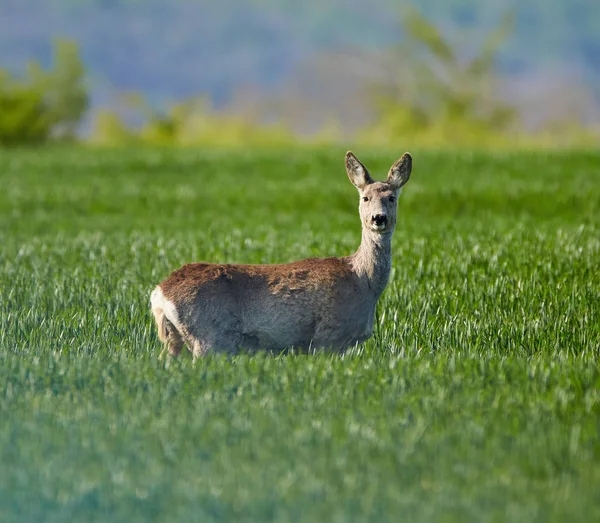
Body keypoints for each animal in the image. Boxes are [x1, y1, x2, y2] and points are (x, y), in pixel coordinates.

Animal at [150, 150, 412, 356]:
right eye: (365, 197)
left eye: (391, 197)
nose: (378, 218)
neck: (363, 282)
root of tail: (159, 293)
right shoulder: (328, 337)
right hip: (209, 337)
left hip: (175, 339)